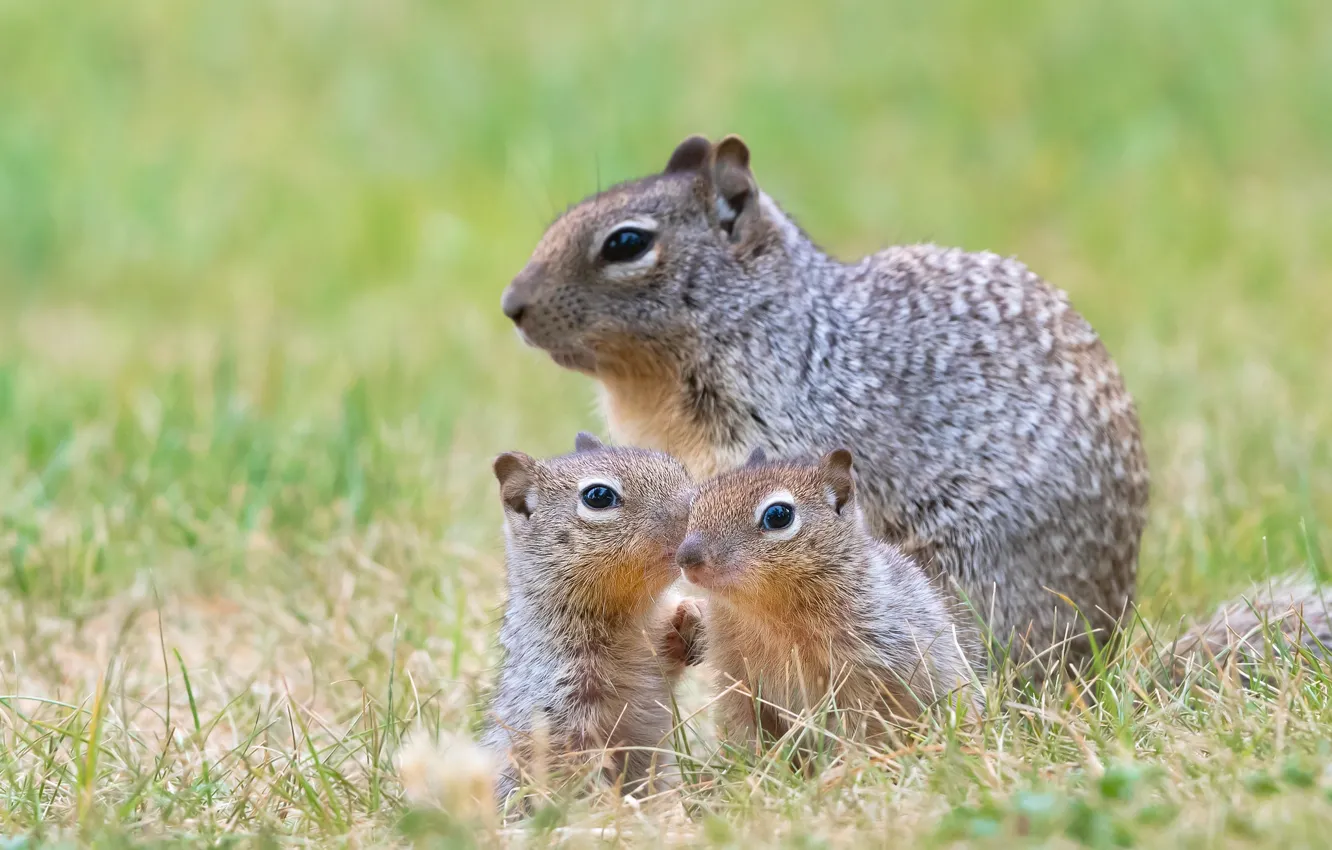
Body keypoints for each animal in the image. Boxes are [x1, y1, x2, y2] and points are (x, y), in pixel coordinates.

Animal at [484, 436, 703, 810]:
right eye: (598, 496)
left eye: (679, 468)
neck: (630, 615)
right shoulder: (560, 703)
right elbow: (573, 768)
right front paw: (610, 810)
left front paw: (694, 616)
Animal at [676, 450, 969, 751]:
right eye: (695, 504)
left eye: (778, 516)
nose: (686, 558)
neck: (766, 612)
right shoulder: (734, 675)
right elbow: (743, 729)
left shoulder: (867, 676)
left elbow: (860, 730)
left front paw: (846, 761)